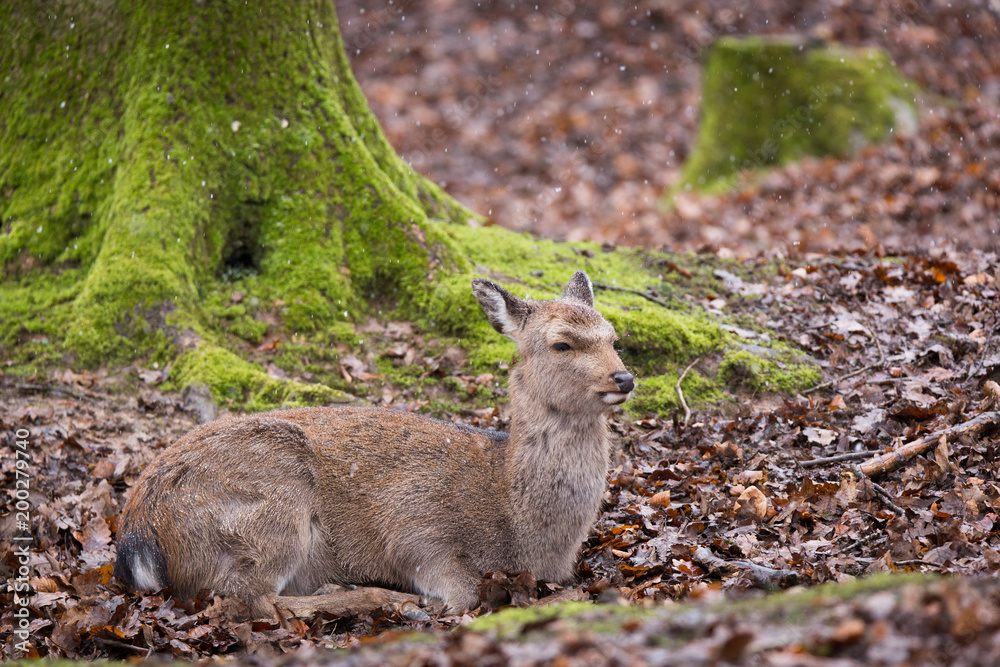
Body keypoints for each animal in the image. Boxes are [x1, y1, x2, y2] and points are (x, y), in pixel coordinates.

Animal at [115, 268, 632, 620]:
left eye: (613, 338)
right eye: (562, 343)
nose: (625, 378)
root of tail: (137, 537)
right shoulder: (413, 521)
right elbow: (462, 591)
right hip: (271, 500)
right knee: (247, 599)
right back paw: (367, 596)